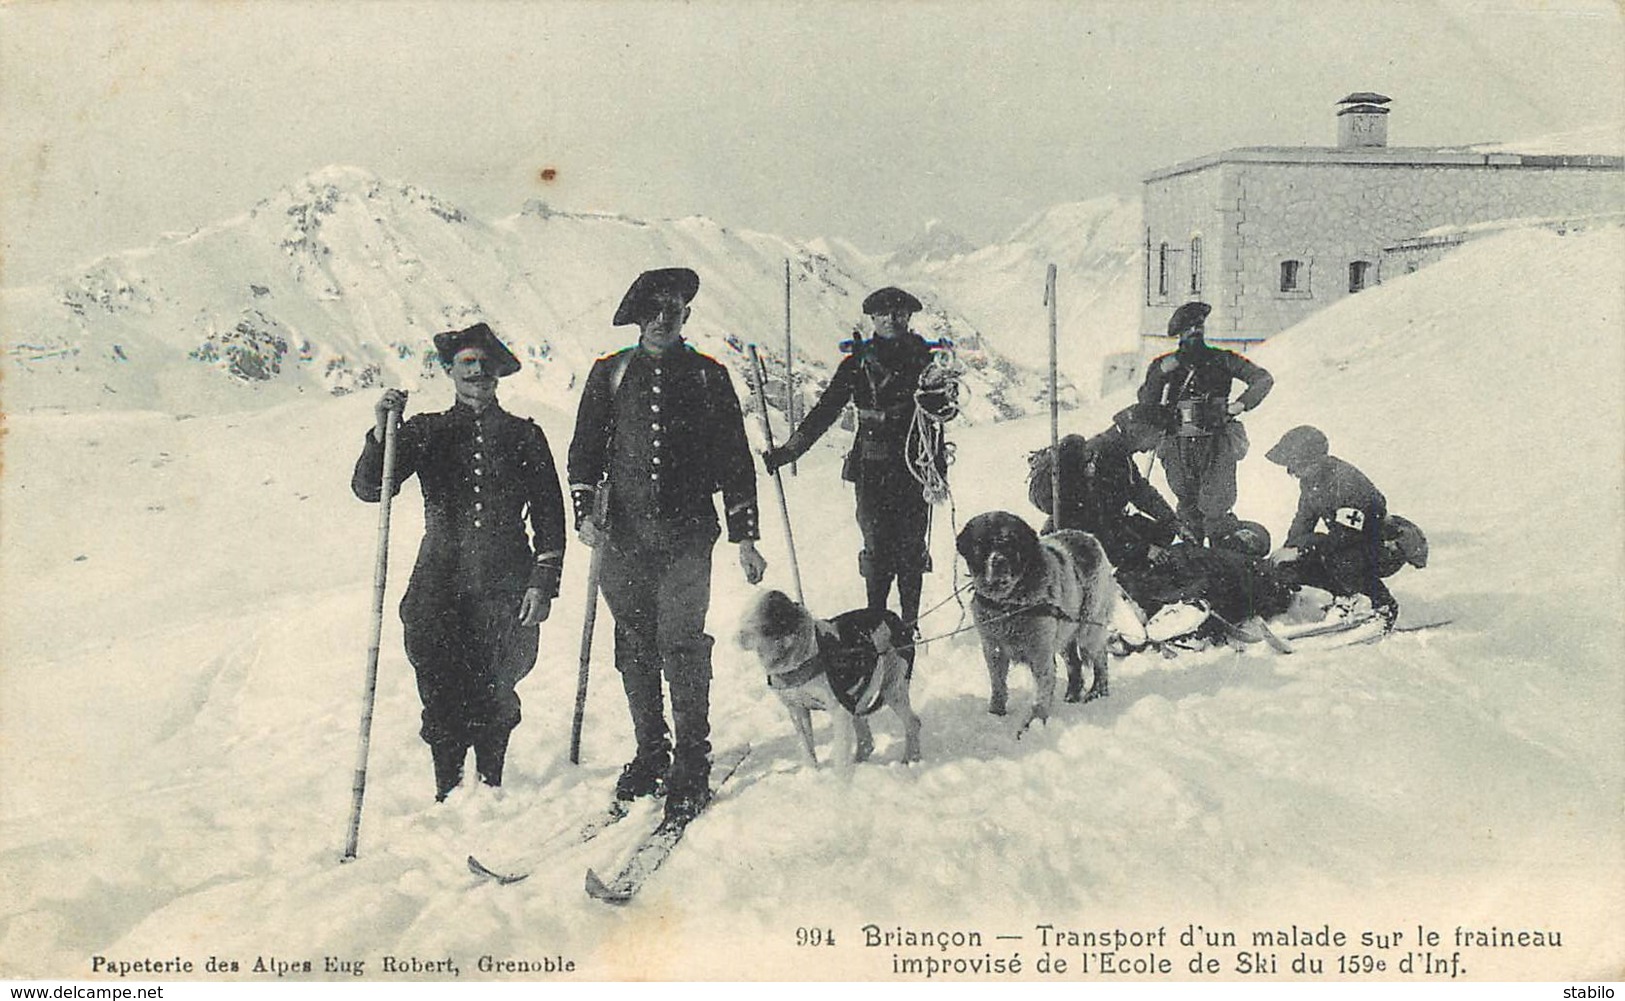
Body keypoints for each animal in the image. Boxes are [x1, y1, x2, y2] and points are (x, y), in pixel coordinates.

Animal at [741, 585, 923, 773]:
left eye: (762, 615)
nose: (740, 636)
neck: (799, 657)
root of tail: (897, 620)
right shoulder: (797, 710)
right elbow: (807, 748)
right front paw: (812, 774)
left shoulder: (838, 710)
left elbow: (840, 754)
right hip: (859, 696)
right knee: (867, 742)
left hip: (892, 689)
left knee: (912, 723)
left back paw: (910, 759)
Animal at [949, 507, 1118, 734]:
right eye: (980, 544)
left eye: (1010, 542)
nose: (999, 560)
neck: (1009, 603)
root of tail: (1088, 537)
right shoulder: (994, 649)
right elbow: (998, 684)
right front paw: (996, 713)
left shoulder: (1040, 654)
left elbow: (1041, 693)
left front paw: (1034, 724)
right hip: (1065, 631)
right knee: (1074, 663)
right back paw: (1072, 696)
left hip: (1089, 627)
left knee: (1100, 658)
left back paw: (1097, 693)